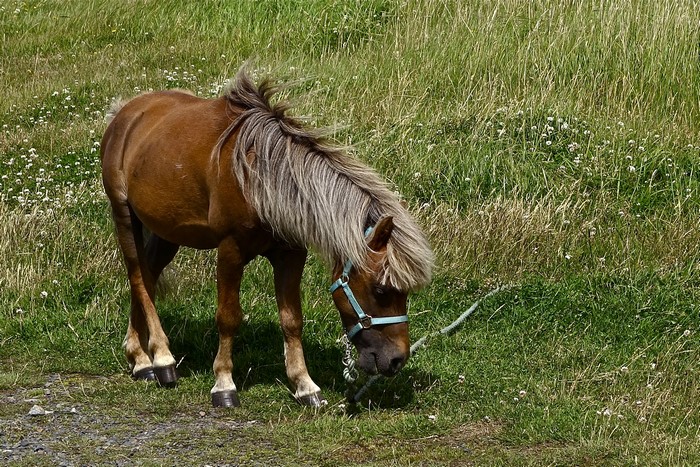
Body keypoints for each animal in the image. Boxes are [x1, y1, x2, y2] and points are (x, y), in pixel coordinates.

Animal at [100, 69, 434, 407]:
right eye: (380, 290)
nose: (397, 360)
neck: (264, 177)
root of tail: (125, 112)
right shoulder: (230, 249)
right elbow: (228, 317)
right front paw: (224, 384)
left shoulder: (291, 254)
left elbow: (292, 319)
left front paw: (305, 385)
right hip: (124, 215)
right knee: (138, 278)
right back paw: (159, 359)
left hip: (167, 231)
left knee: (147, 277)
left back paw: (140, 358)